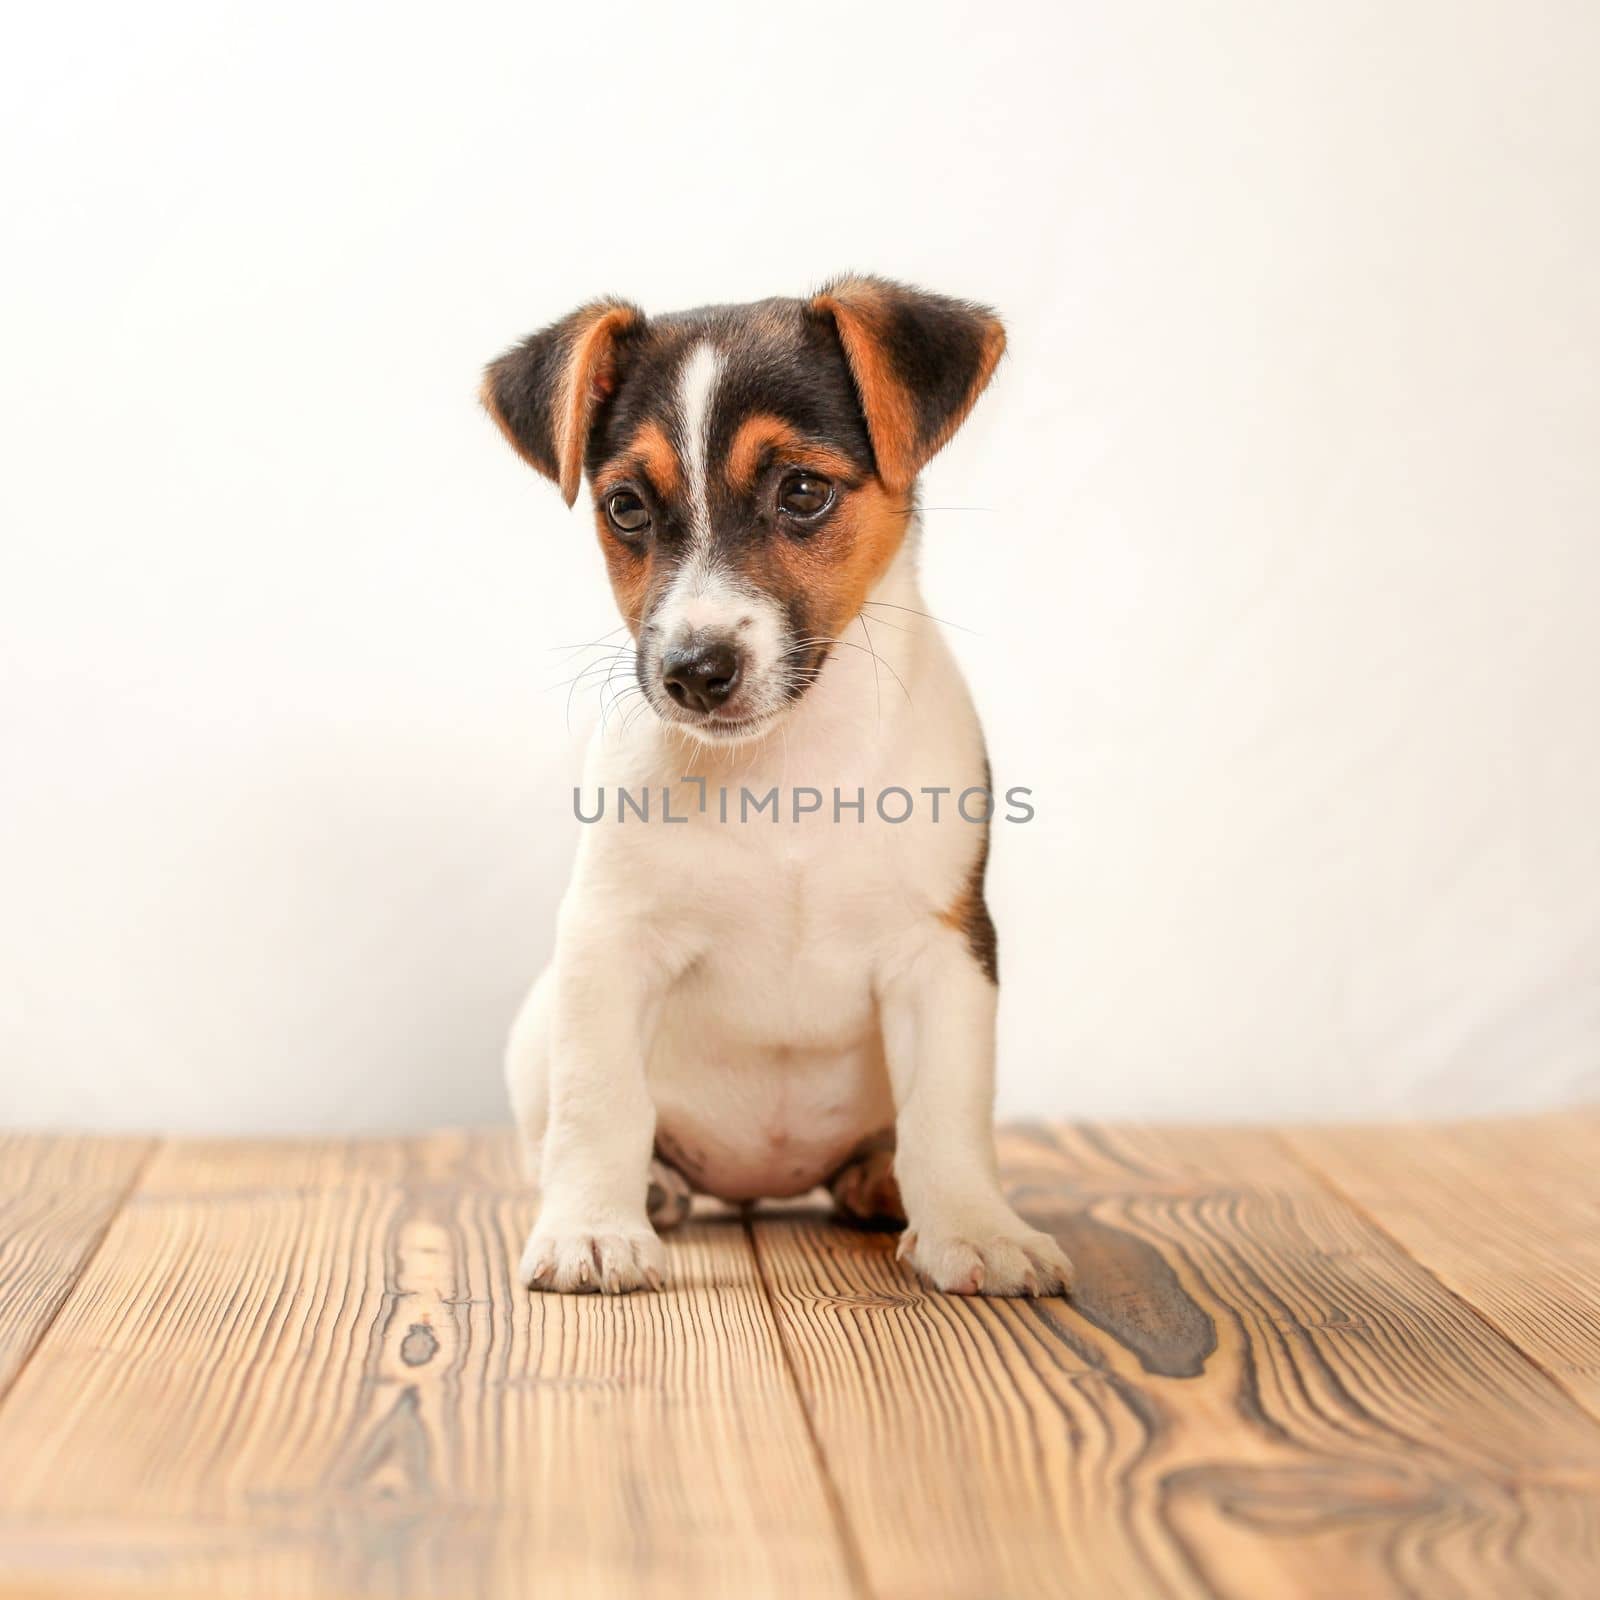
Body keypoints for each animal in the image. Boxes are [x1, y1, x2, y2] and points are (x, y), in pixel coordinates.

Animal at [480, 278, 1068, 1299]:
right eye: (626, 506)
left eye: (802, 491)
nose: (693, 671)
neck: (787, 765)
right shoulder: (608, 940)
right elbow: (599, 1101)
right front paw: (593, 1229)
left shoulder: (946, 948)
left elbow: (949, 1110)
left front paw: (976, 1228)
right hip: (534, 1026)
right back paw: (655, 1189)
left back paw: (881, 1179)